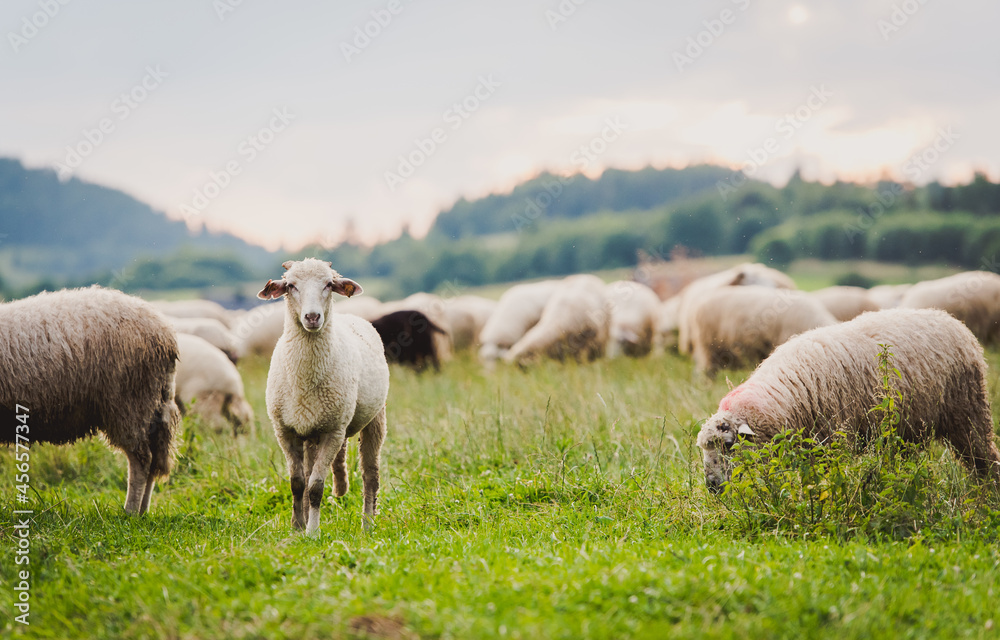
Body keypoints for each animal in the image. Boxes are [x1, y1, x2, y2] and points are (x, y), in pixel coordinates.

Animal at [0, 286, 179, 514]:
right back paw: (142, 511)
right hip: (154, 404)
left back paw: (130, 511)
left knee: (141, 460)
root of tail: (165, 333)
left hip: (129, 403)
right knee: (154, 460)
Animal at [258, 259, 389, 534]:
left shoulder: (334, 432)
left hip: (374, 417)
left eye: (329, 284)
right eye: (290, 285)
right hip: (311, 430)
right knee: (308, 474)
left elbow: (316, 486)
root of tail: (350, 316)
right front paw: (297, 527)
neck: (304, 381)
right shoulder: (285, 431)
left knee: (370, 475)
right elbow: (298, 483)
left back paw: (368, 523)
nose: (312, 317)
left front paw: (312, 532)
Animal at [697, 308, 1000, 493]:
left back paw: (987, 493)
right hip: (906, 428)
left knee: (982, 456)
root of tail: (950, 319)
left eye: (728, 444)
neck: (784, 396)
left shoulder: (834, 441)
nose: (711, 486)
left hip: (968, 410)